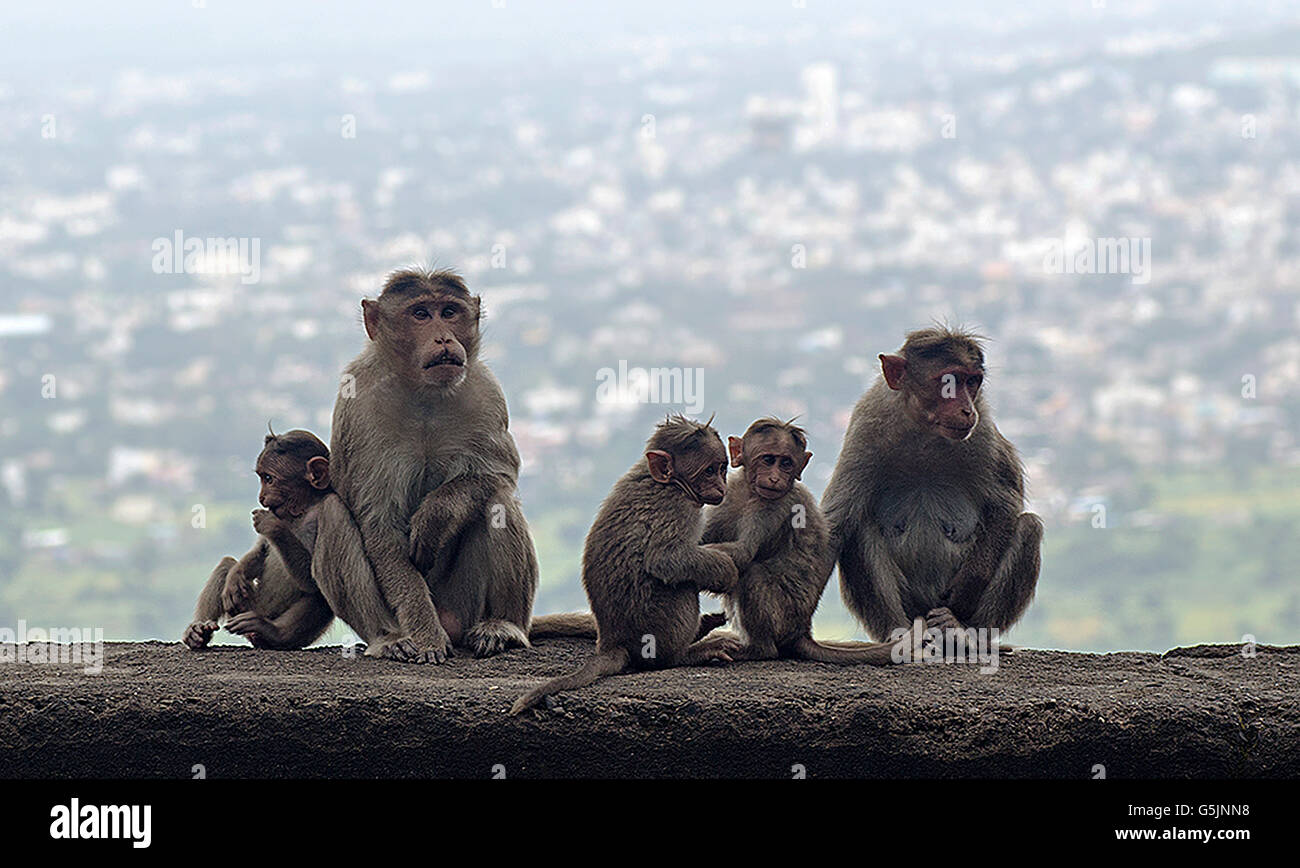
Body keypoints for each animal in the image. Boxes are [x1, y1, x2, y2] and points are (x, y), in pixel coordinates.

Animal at [183, 426, 335, 649]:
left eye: (269, 479)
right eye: (262, 478)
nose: (261, 498)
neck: (301, 511)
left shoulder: (325, 514)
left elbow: (311, 578)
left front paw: (273, 526)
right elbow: (260, 551)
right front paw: (236, 575)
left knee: (319, 595)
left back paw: (271, 633)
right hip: (244, 607)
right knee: (225, 566)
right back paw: (198, 630)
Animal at [319, 267, 538, 660]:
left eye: (449, 312)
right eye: (420, 314)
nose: (443, 338)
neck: (423, 392)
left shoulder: (486, 392)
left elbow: (497, 474)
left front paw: (437, 514)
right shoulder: (358, 406)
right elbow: (380, 523)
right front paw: (425, 634)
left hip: (463, 603)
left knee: (498, 500)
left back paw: (503, 626)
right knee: (331, 513)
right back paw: (389, 638)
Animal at [512, 415, 748, 717]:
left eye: (721, 468)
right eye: (708, 471)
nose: (721, 488)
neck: (667, 482)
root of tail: (613, 642)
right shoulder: (677, 507)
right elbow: (665, 560)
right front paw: (726, 572)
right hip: (656, 629)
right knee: (680, 588)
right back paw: (684, 653)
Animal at [702, 421, 915, 665]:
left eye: (786, 463)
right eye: (768, 459)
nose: (775, 478)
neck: (750, 492)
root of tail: (802, 630)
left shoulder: (776, 506)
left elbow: (743, 553)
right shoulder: (728, 496)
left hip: (784, 615)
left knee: (752, 574)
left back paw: (759, 649)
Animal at [821, 328, 1045, 641]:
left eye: (972, 382)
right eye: (948, 382)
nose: (966, 410)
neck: (925, 432)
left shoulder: (983, 432)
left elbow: (1005, 507)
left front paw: (968, 586)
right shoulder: (866, 426)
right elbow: (837, 523)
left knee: (1028, 527)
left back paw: (966, 633)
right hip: (911, 604)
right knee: (858, 529)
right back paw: (901, 634)